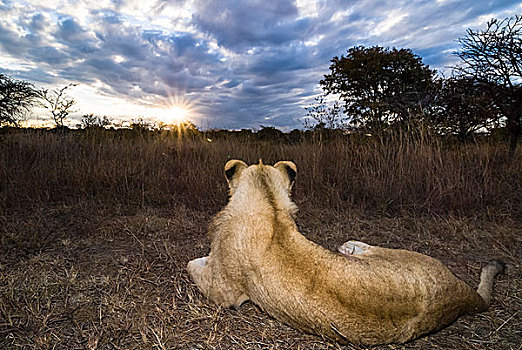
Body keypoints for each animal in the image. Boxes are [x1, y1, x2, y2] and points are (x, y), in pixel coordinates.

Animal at [185, 160, 502, 346]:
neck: (269, 205)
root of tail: (461, 295)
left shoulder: (226, 294)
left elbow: (191, 265)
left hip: (401, 254)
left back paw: (348, 245)